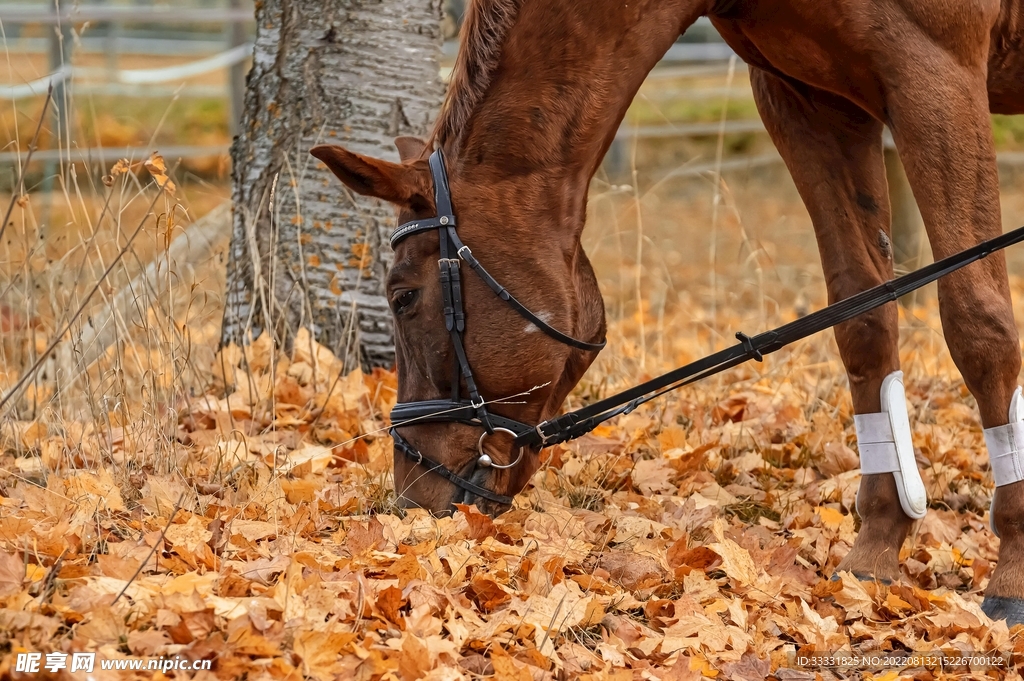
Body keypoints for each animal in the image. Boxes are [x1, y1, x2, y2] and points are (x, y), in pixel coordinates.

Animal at [310, 0, 1024, 624]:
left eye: (402, 297)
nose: (410, 497)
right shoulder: (809, 102)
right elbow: (864, 321)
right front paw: (874, 551)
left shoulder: (935, 73)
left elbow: (980, 323)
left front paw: (1012, 571)